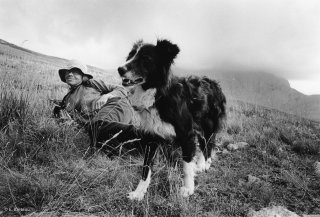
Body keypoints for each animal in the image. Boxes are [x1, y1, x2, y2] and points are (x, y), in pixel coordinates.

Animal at [117, 39, 225, 200]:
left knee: (208, 143)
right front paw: (139, 192)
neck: (159, 95)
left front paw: (188, 188)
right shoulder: (150, 136)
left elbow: (186, 166)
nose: (119, 69)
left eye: (146, 59)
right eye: (130, 55)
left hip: (209, 124)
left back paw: (204, 164)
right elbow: (146, 168)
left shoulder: (187, 134)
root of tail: (213, 82)